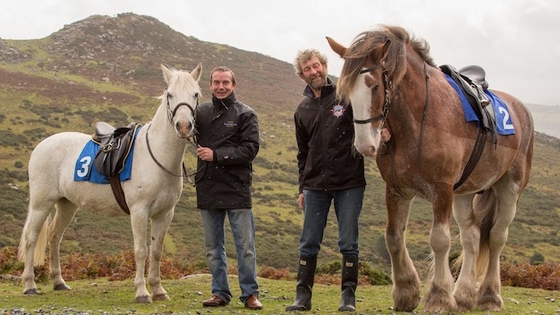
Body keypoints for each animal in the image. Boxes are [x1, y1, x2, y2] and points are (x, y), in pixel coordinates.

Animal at [18, 63, 202, 304]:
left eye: (196, 94)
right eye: (169, 94)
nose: (183, 126)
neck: (156, 154)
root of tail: (41, 146)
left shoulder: (164, 214)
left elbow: (156, 251)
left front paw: (158, 290)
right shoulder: (139, 211)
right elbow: (141, 250)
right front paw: (142, 292)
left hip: (66, 204)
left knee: (55, 236)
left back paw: (59, 282)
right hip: (42, 203)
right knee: (31, 238)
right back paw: (29, 285)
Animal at [328, 25, 532, 314]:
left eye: (375, 86)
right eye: (345, 93)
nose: (365, 145)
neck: (418, 120)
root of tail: (521, 108)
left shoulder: (441, 190)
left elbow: (439, 240)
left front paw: (438, 296)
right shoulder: (397, 190)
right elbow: (393, 237)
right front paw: (406, 292)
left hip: (509, 189)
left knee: (496, 237)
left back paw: (490, 295)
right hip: (464, 194)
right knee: (472, 236)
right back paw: (465, 295)